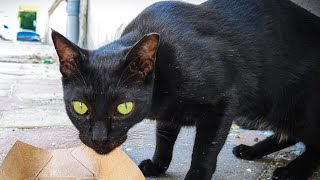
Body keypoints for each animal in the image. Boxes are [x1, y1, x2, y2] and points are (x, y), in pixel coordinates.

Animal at [52, 0, 320, 179]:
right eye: (80, 107)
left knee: (313, 142)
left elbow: (205, 152)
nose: (99, 138)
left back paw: (291, 171)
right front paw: (158, 165)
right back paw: (252, 151)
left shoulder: (222, 104)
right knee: (291, 134)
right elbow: (164, 140)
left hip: (299, 108)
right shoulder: (169, 115)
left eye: (124, 107)